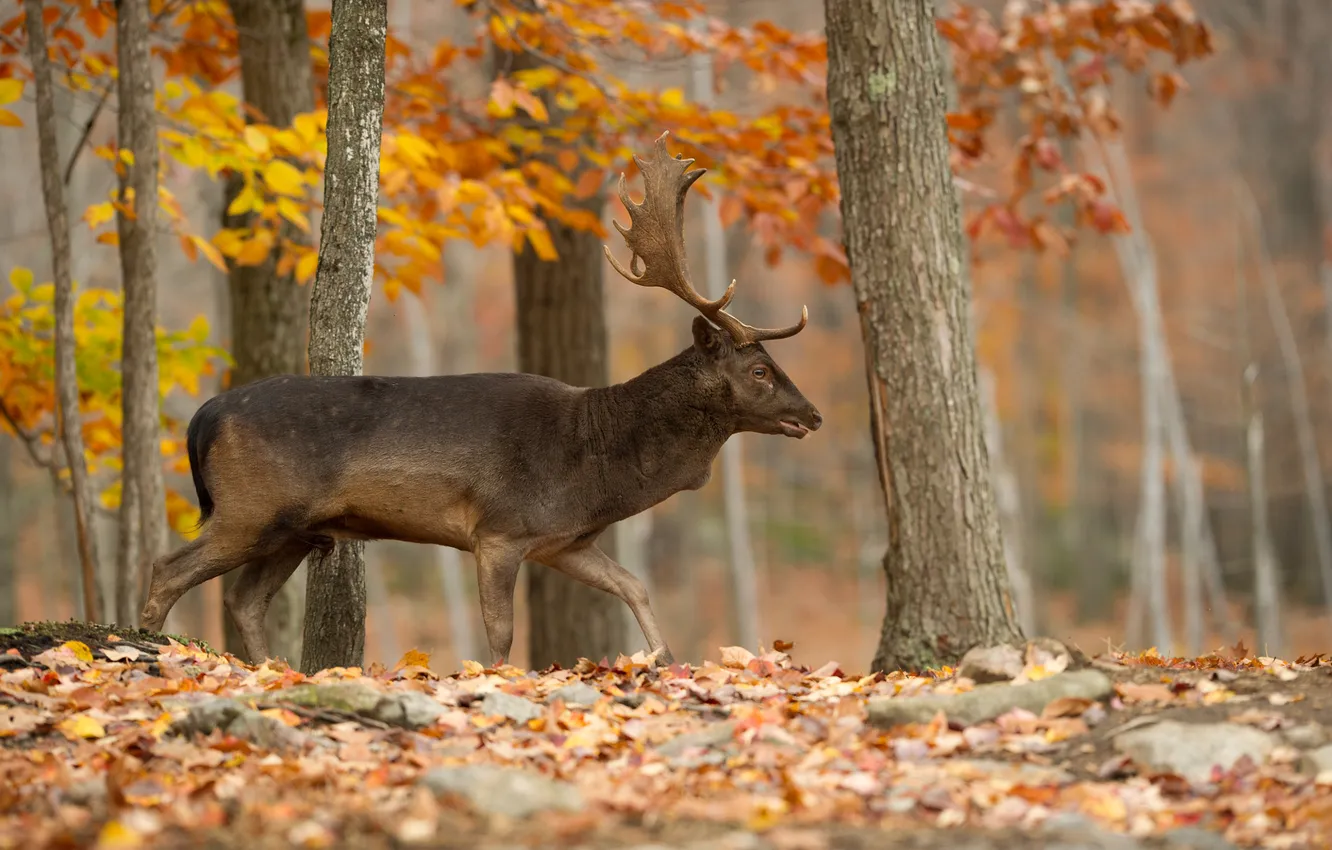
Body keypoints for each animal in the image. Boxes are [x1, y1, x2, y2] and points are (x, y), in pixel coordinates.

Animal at [138, 131, 822, 668]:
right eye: (761, 370)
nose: (812, 415)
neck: (594, 465)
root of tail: (201, 419)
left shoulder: (564, 541)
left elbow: (636, 586)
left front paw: (667, 659)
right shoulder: (499, 528)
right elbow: (501, 634)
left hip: (294, 529)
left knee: (242, 598)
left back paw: (271, 668)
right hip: (249, 506)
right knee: (168, 567)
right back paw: (145, 647)